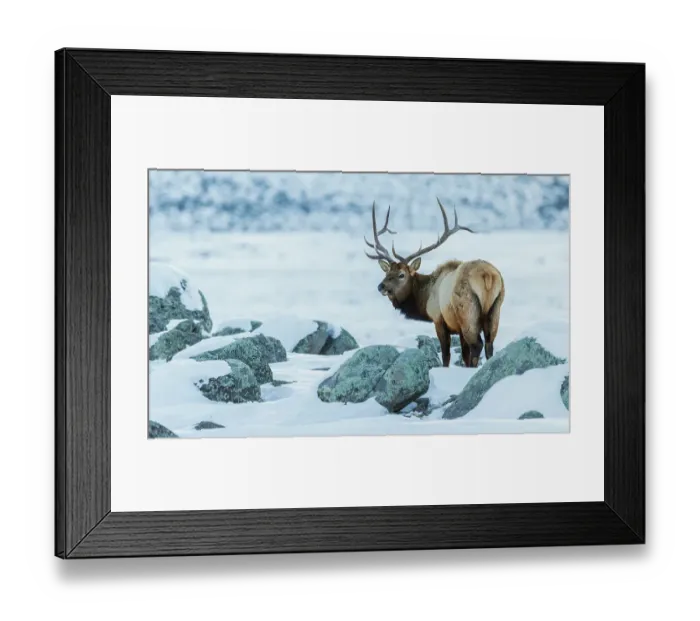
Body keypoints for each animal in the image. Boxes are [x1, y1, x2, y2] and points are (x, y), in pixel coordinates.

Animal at [365, 199, 505, 368]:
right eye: (386, 273)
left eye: (401, 275)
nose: (381, 286)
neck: (425, 297)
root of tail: (487, 276)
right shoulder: (457, 328)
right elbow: (464, 355)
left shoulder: (439, 320)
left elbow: (446, 355)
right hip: (495, 308)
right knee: (489, 345)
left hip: (467, 311)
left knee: (477, 345)